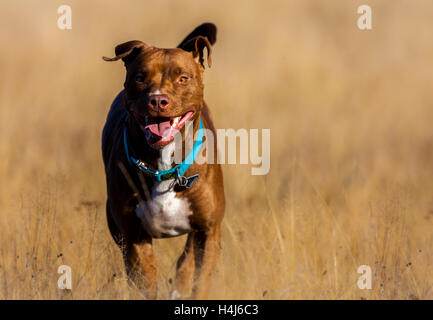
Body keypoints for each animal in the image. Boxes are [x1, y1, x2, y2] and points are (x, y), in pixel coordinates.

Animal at [100, 23, 224, 300]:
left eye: (183, 78)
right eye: (140, 77)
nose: (157, 100)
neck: (165, 168)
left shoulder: (208, 231)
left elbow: (198, 277)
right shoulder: (134, 236)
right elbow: (145, 279)